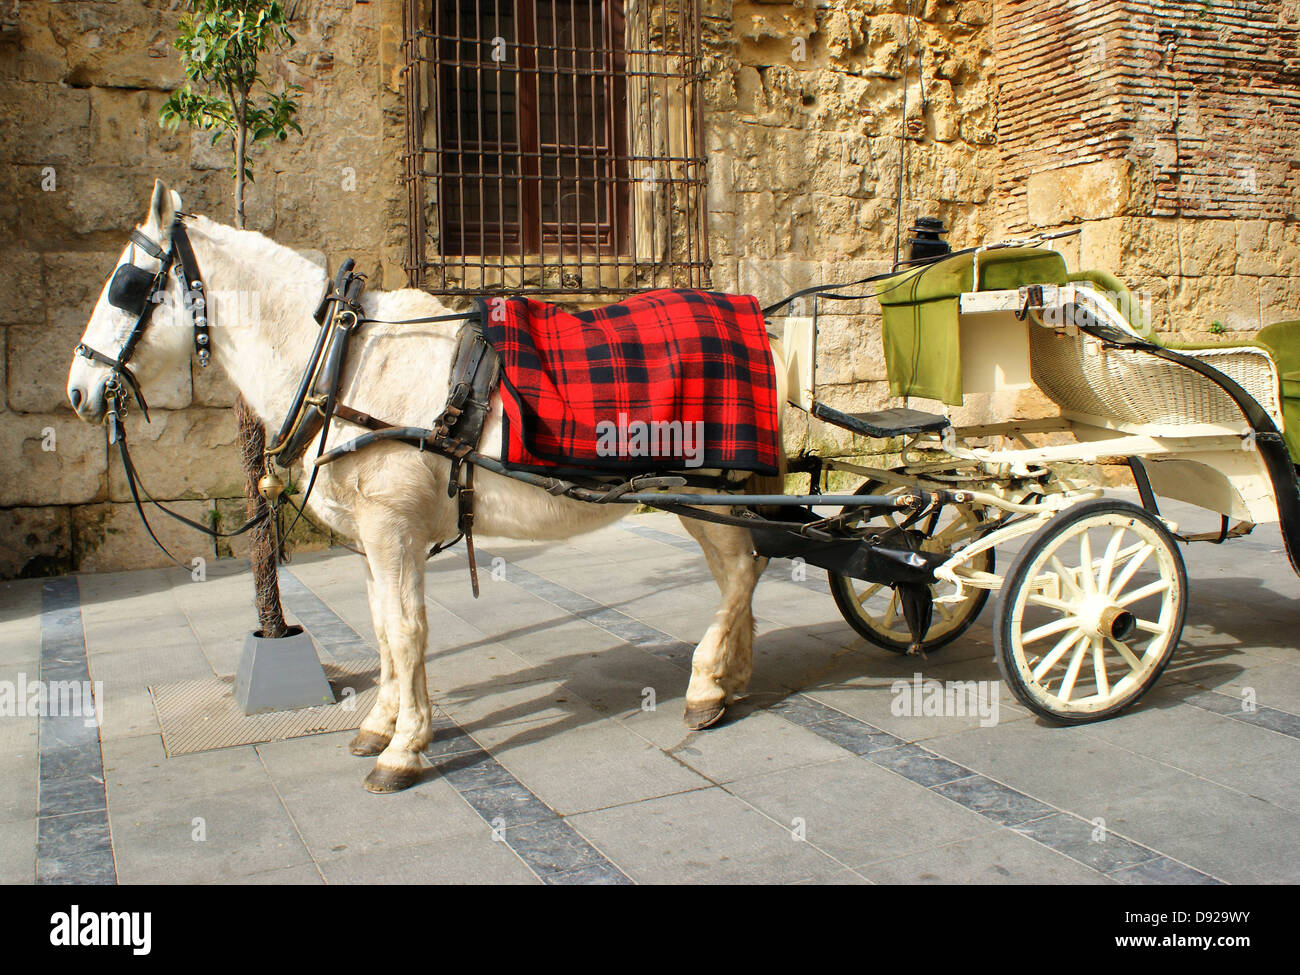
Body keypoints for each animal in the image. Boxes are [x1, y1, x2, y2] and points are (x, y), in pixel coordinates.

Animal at [66, 179, 790, 793]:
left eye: (127, 284)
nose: (78, 390)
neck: (343, 363)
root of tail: (759, 321)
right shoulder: (373, 538)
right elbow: (384, 629)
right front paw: (380, 723)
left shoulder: (393, 529)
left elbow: (408, 629)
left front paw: (404, 747)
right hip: (711, 497)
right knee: (741, 570)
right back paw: (731, 679)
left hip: (706, 491)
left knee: (741, 573)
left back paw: (705, 683)